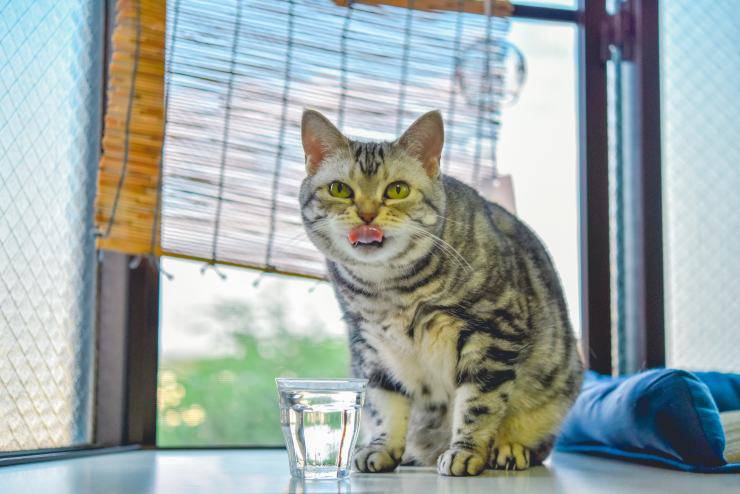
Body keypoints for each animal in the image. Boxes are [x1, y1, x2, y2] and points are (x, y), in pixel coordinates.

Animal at [298, 110, 580, 476]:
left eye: (398, 189)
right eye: (340, 189)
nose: (367, 213)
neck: (389, 288)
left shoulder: (493, 334)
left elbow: (478, 404)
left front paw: (465, 451)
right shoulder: (371, 347)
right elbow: (385, 403)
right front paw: (382, 447)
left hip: (556, 384)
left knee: (539, 442)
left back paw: (510, 449)